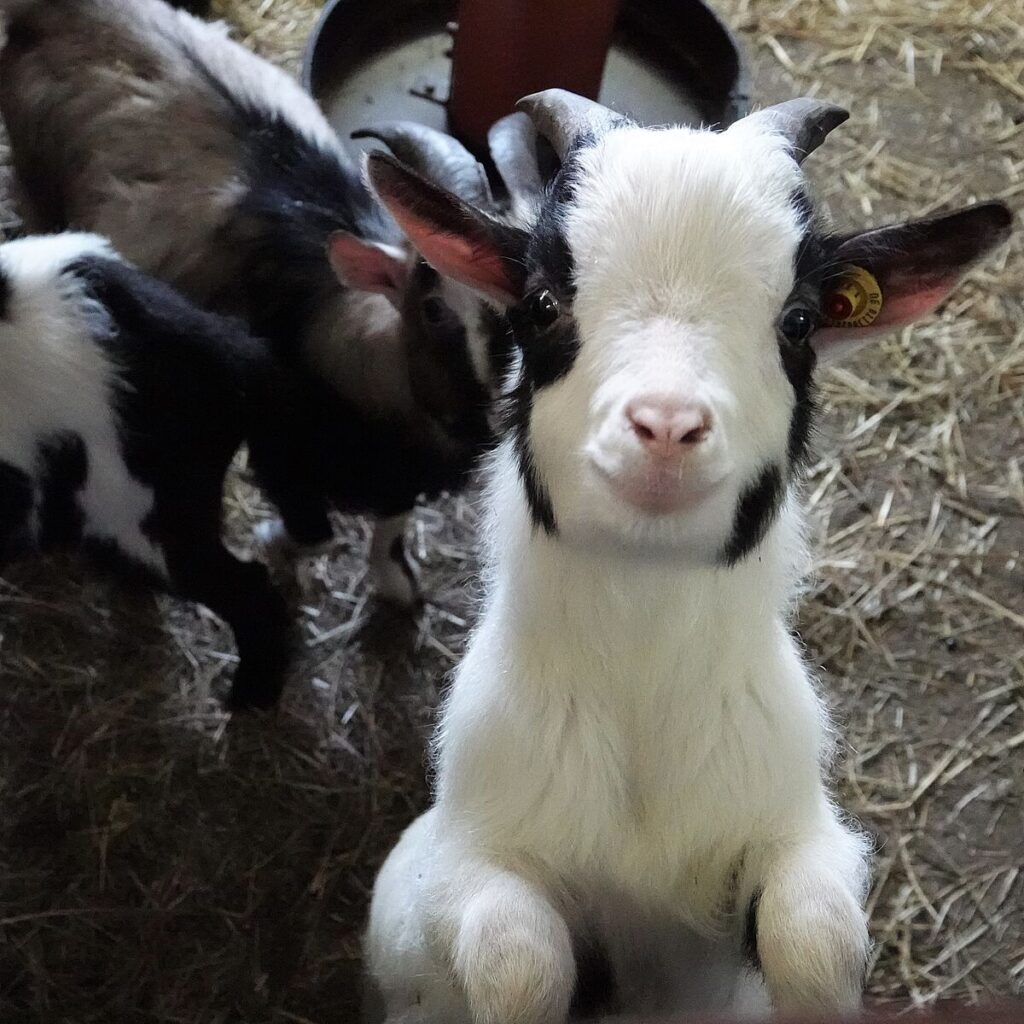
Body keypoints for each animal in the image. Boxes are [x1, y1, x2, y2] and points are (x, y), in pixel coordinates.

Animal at [0, 0, 503, 607]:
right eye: (432, 306)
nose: (491, 412)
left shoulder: (397, 477)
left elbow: (391, 525)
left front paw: (394, 582)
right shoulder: (277, 442)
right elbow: (314, 531)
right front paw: (274, 543)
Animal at [359, 91, 1012, 1022]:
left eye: (799, 321)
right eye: (543, 305)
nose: (666, 426)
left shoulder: (799, 836)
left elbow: (814, 942)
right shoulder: (469, 868)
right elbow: (520, 963)